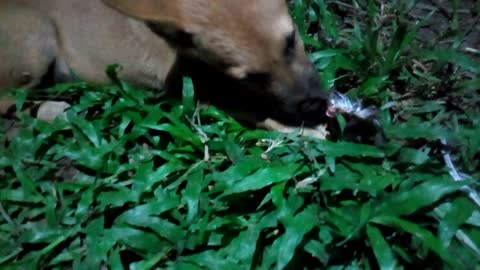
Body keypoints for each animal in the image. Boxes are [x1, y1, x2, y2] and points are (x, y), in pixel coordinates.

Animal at [0, 0, 330, 137]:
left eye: (291, 40)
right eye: (252, 78)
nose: (314, 105)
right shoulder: (194, 92)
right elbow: (256, 110)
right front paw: (302, 129)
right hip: (38, 36)